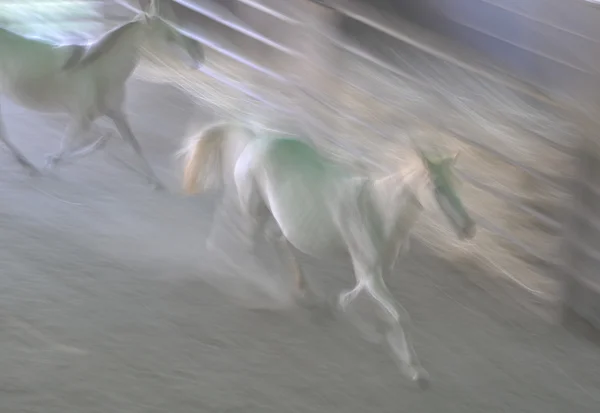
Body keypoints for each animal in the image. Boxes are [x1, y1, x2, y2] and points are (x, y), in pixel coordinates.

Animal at [0, 0, 204, 187]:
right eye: (169, 36)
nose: (198, 57)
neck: (100, 73)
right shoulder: (81, 118)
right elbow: (66, 147)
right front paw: (49, 163)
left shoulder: (115, 114)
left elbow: (134, 144)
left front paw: (156, 182)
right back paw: (28, 165)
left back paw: (27, 164)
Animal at [180, 122, 476, 386]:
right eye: (437, 186)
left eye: (457, 184)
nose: (468, 228)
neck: (376, 211)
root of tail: (256, 138)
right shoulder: (370, 273)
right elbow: (399, 315)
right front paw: (415, 370)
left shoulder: (375, 273)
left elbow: (367, 302)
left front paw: (342, 311)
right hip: (253, 209)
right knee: (240, 244)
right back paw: (256, 288)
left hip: (274, 218)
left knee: (271, 240)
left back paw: (305, 293)